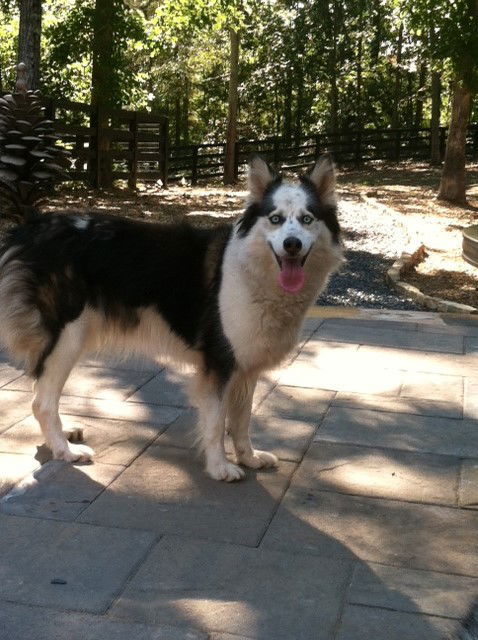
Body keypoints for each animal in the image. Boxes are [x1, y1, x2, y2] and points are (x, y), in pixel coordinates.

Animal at [0, 156, 344, 480]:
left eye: (307, 219)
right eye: (275, 220)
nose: (292, 244)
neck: (251, 268)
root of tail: (32, 227)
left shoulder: (245, 367)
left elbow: (242, 421)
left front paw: (249, 457)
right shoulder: (220, 363)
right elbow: (216, 422)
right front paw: (220, 467)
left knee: (41, 393)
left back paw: (62, 433)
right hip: (68, 336)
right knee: (42, 402)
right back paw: (64, 450)